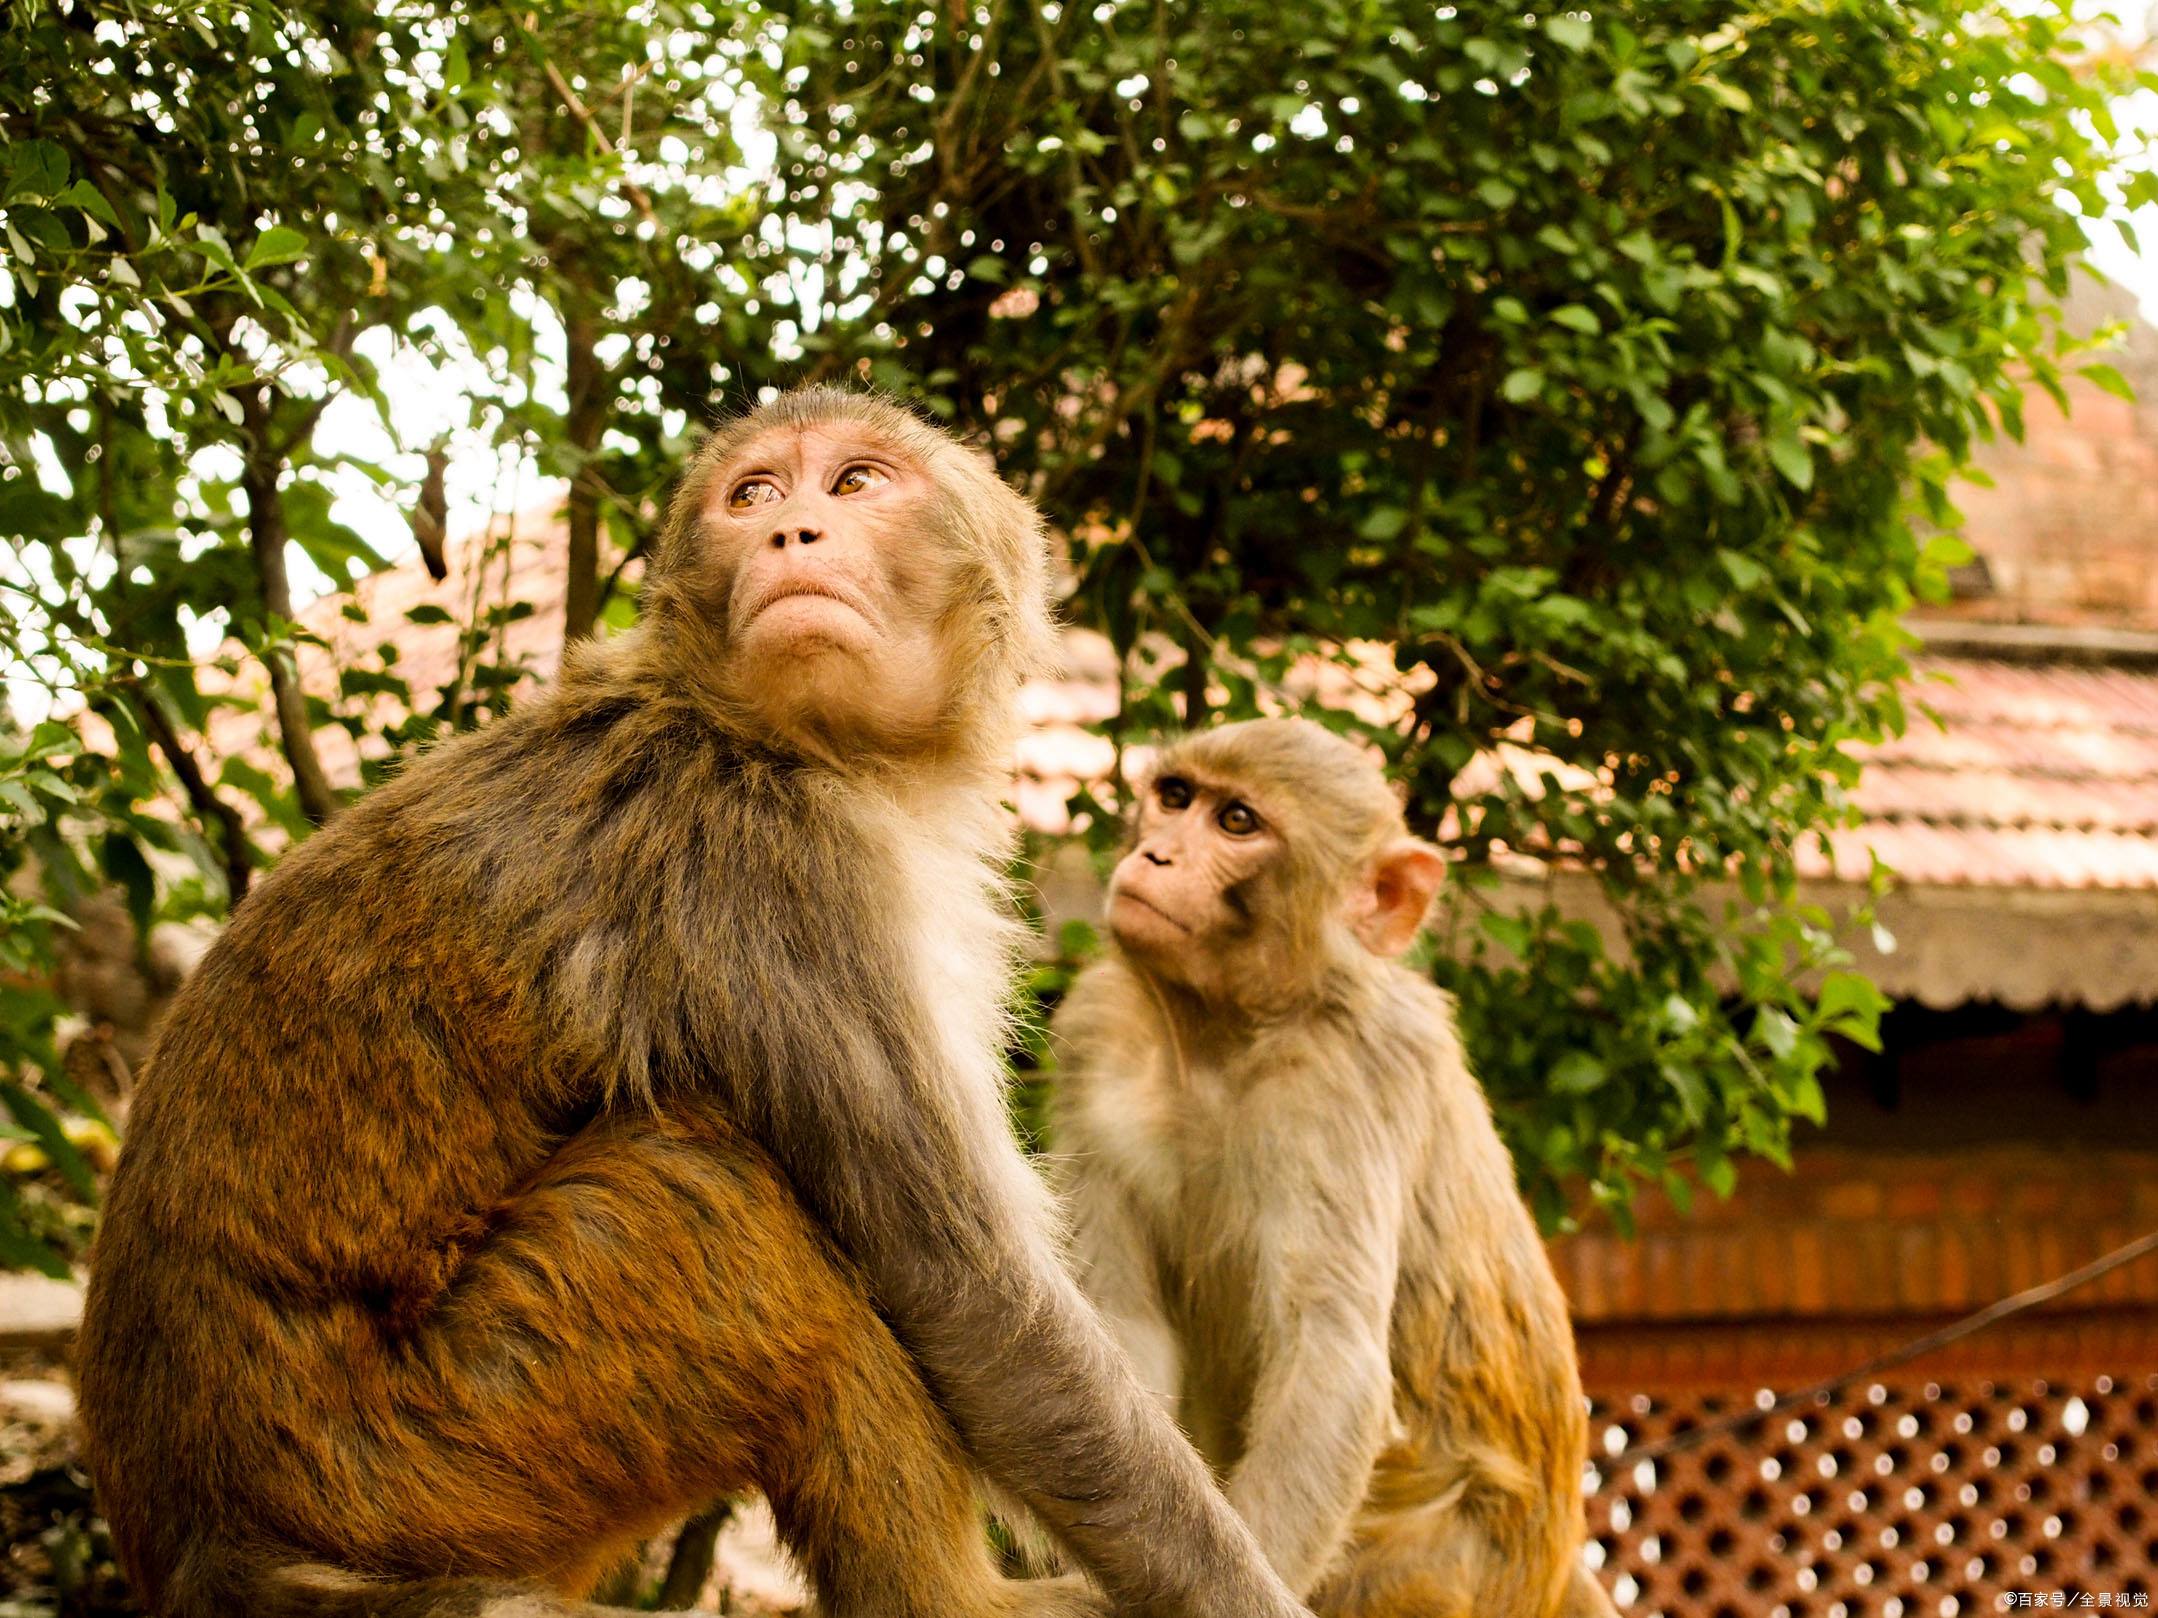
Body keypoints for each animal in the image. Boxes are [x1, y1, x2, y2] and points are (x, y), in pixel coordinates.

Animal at [76, 392, 1303, 1618]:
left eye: (856, 483)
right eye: (754, 495)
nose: (792, 531)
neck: (782, 740)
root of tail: (209, 1550)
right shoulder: (769, 865)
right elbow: (969, 1296)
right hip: (424, 1455)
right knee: (716, 1191)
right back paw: (939, 1598)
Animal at [1044, 720, 1622, 1618]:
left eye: (1237, 823)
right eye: (1175, 797)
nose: (1157, 855)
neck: (1229, 1033)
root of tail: (1552, 1568)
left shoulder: (1345, 1079)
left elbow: (1331, 1352)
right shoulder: (1099, 1032)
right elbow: (1124, 1324)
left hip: (1439, 1568)